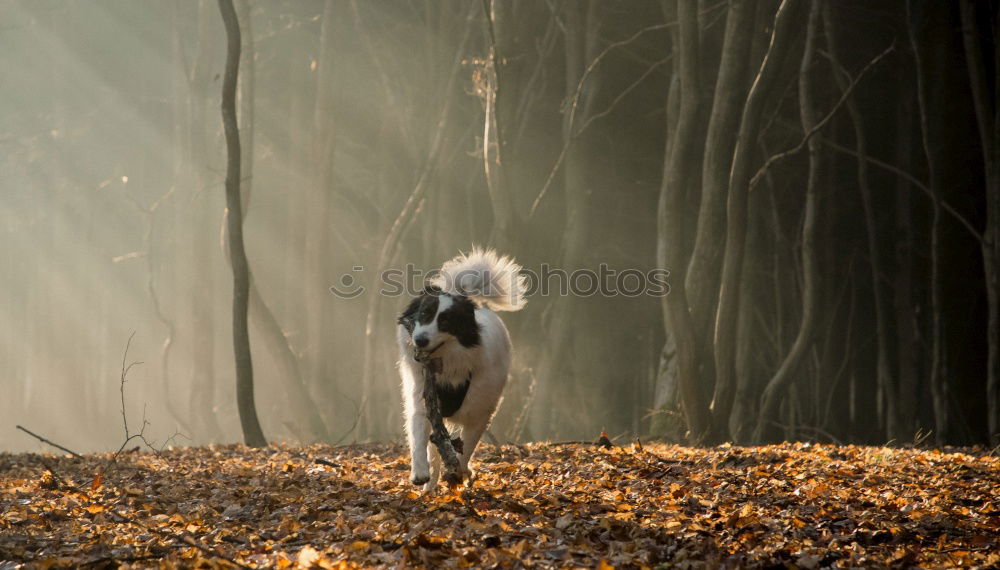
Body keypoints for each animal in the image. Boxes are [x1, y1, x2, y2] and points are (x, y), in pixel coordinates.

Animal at [396, 246, 528, 490]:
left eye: (446, 321)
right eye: (424, 314)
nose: (419, 340)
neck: (448, 362)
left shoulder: (480, 412)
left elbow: (466, 448)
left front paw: (459, 471)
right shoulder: (423, 399)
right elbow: (419, 438)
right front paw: (420, 473)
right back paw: (430, 485)